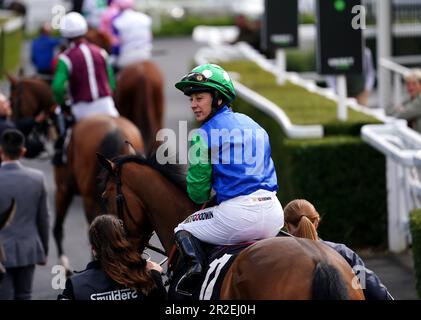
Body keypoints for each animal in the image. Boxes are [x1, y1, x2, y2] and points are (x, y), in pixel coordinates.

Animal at [6, 74, 144, 272]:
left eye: (12, 99)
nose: (14, 127)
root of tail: (115, 130)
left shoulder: (63, 189)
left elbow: (57, 228)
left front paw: (64, 267)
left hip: (89, 197)